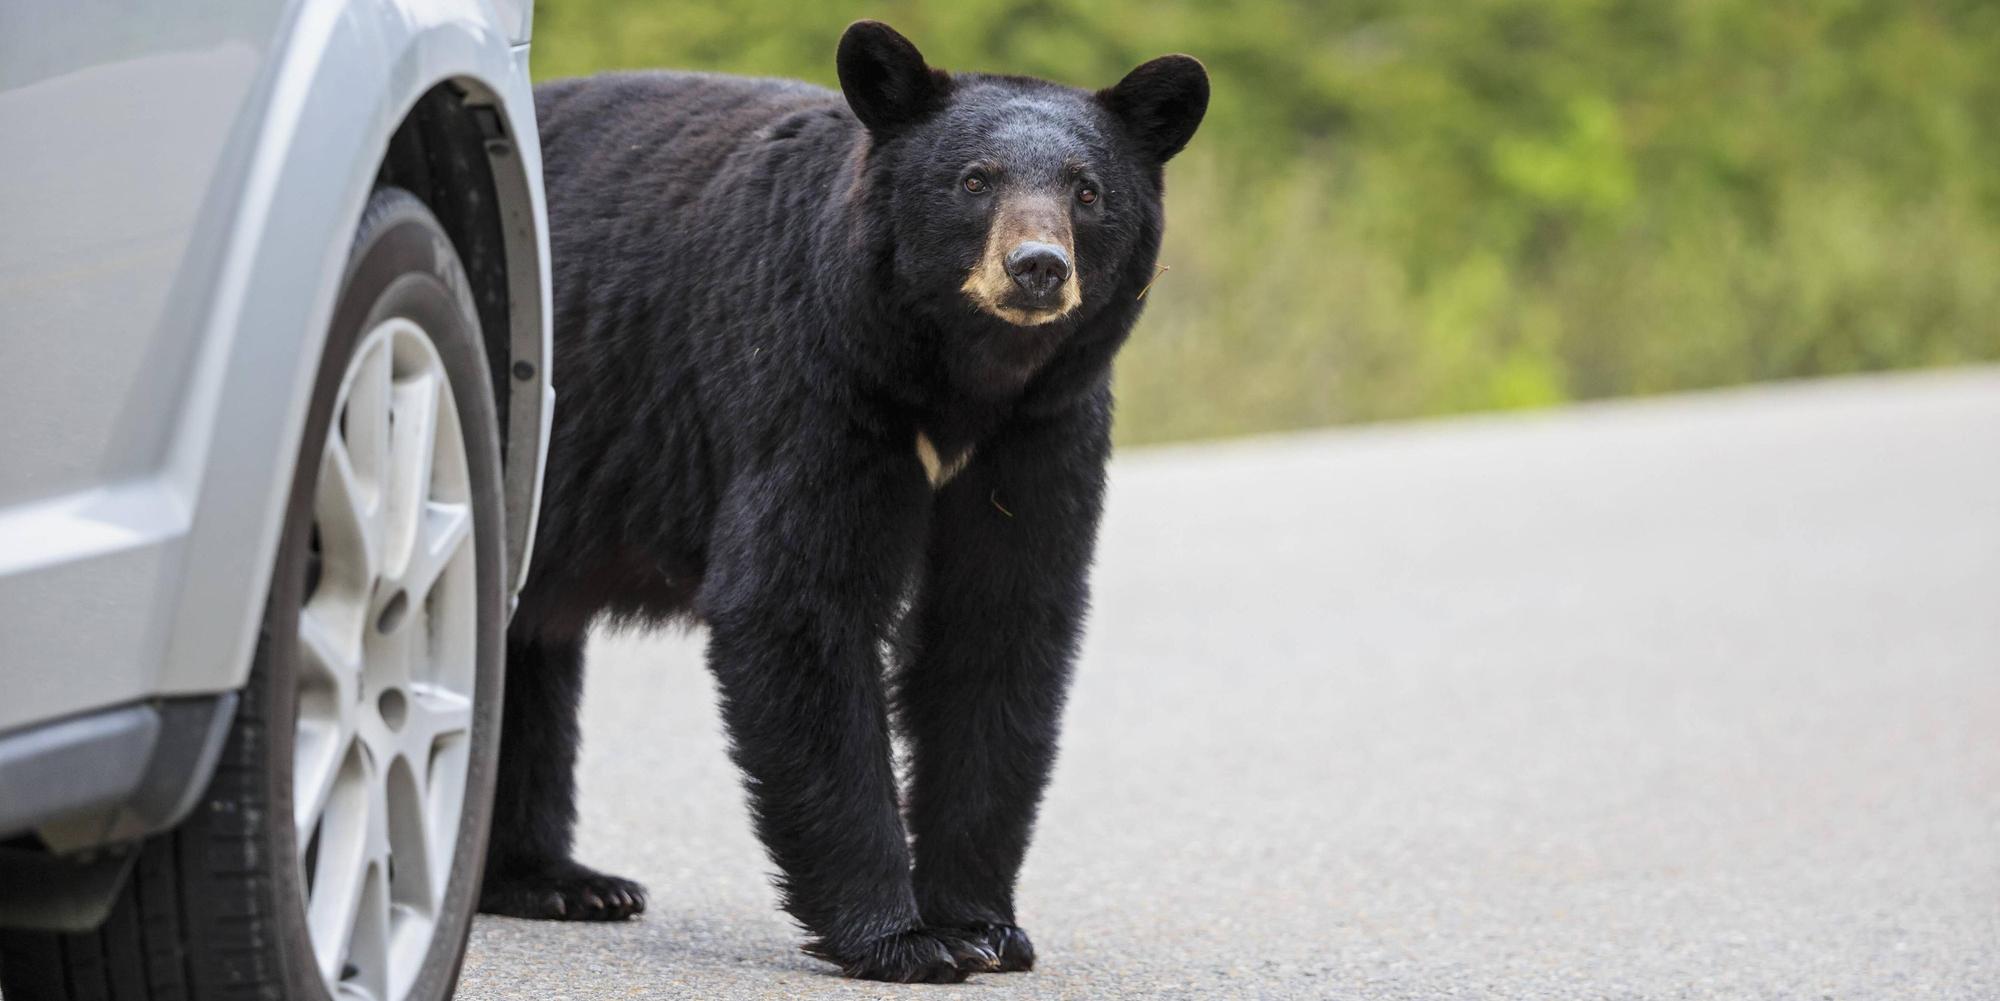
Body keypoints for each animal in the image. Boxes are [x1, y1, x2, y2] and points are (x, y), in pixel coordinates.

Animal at [478, 20, 1207, 984]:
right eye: (974, 179)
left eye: (1088, 191)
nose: (1037, 268)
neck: (959, 385)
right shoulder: (815, 383)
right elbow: (798, 604)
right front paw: (900, 937)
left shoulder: (1044, 429)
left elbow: (1000, 624)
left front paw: (983, 922)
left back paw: (559, 881)